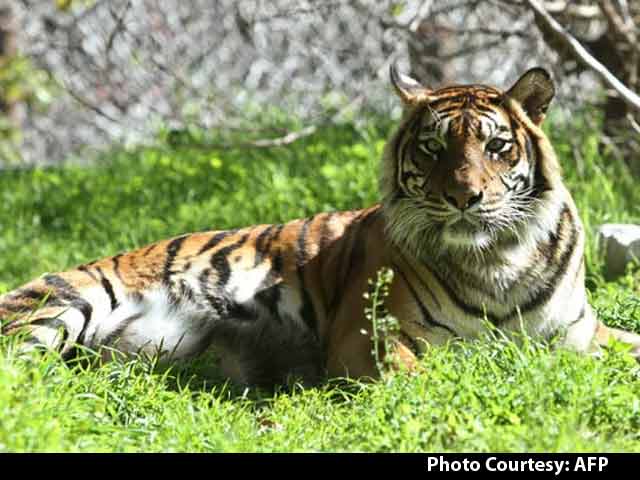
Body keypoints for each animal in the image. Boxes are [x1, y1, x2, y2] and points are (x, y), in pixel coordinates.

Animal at [1, 64, 640, 386]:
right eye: (433, 148)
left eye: (497, 146)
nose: (463, 196)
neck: (500, 259)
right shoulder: (368, 336)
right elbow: (425, 376)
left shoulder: (581, 334)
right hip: (63, 303)